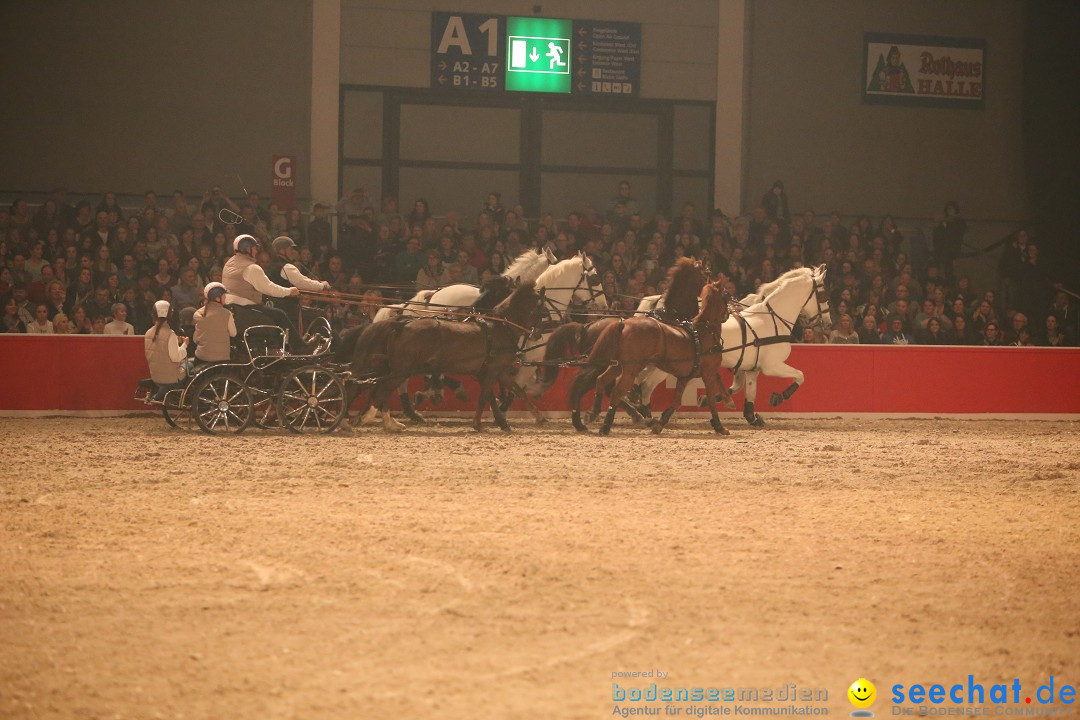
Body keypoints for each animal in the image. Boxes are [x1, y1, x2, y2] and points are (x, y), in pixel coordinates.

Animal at [349, 282, 544, 433]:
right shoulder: (492, 371)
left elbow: (515, 391)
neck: (500, 327)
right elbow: (485, 397)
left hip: (396, 369)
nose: (538, 334)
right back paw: (387, 422)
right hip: (402, 370)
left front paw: (532, 419)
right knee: (382, 390)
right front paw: (479, 424)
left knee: (379, 389)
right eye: (542, 308)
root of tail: (401, 325)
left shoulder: (496, 372)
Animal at [565, 280, 734, 433]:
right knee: (617, 392)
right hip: (631, 369)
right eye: (726, 295)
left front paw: (660, 424)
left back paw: (594, 412)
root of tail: (623, 323)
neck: (704, 331)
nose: (728, 314)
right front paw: (719, 426)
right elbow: (711, 399)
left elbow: (676, 401)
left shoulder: (684, 377)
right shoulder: (708, 373)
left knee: (601, 380)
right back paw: (606, 426)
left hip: (618, 365)